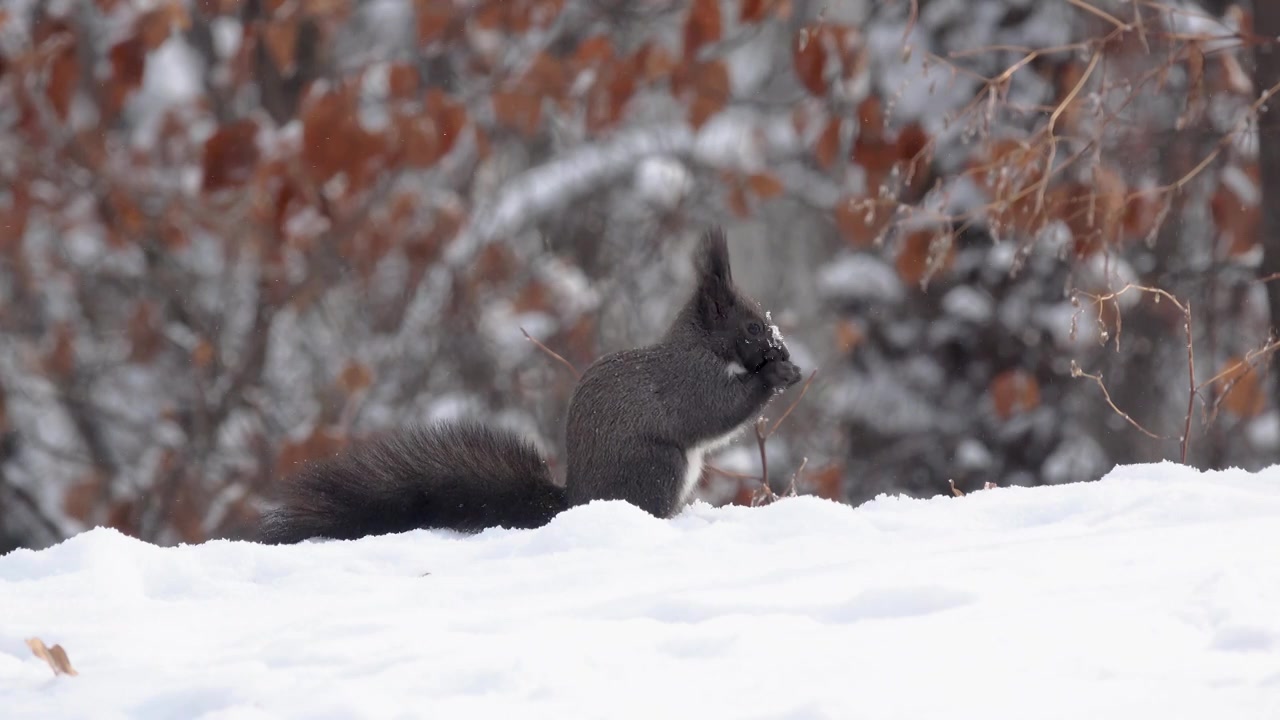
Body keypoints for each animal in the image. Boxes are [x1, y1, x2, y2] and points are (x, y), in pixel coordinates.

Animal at [257, 226, 798, 540]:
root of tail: (575, 503)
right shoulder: (689, 382)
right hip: (658, 466)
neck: (703, 348)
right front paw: (776, 376)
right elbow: (715, 412)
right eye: (752, 327)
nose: (781, 347)